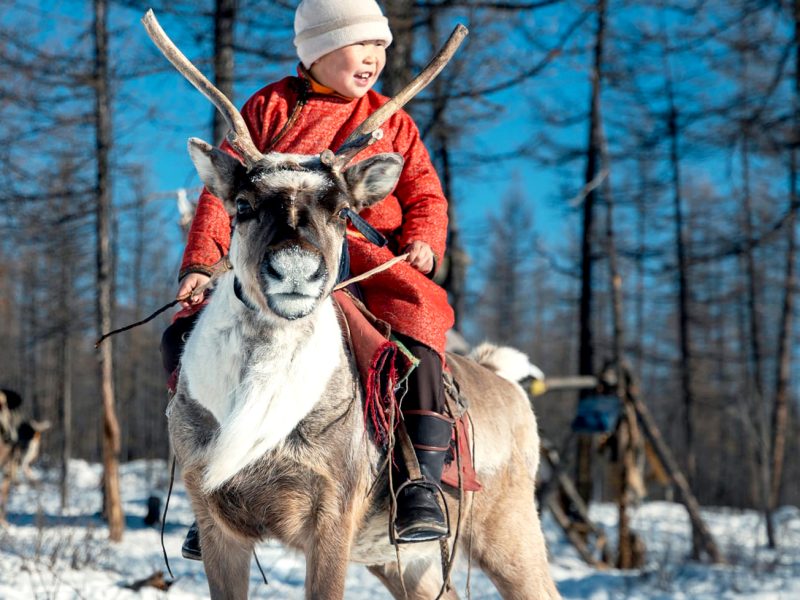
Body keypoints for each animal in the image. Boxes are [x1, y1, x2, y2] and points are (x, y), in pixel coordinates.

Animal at [143, 10, 560, 600]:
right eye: (241, 206)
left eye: (342, 210)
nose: (296, 269)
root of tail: (507, 383)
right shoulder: (214, 513)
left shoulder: (333, 512)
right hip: (403, 559)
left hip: (507, 525)